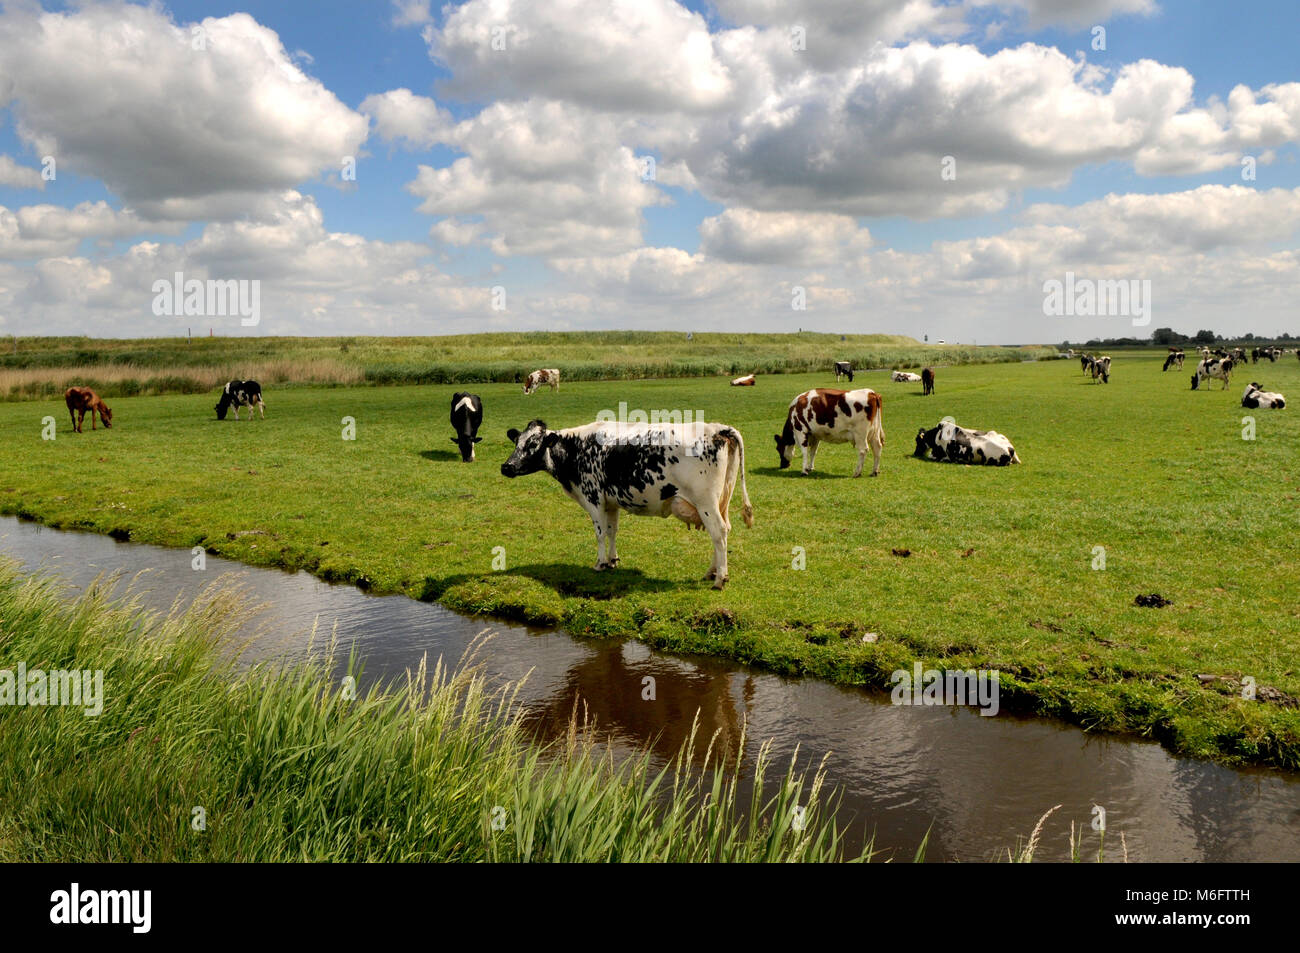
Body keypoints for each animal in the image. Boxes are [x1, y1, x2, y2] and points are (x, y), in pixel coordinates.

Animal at [501, 416, 759, 587]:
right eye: (517, 442)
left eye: (533, 444)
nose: (507, 467)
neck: (576, 448)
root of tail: (717, 428)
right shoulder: (611, 501)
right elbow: (612, 530)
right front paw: (613, 560)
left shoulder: (593, 497)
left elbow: (600, 533)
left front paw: (600, 563)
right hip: (721, 501)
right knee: (723, 531)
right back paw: (711, 573)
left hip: (706, 503)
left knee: (718, 533)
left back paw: (720, 579)